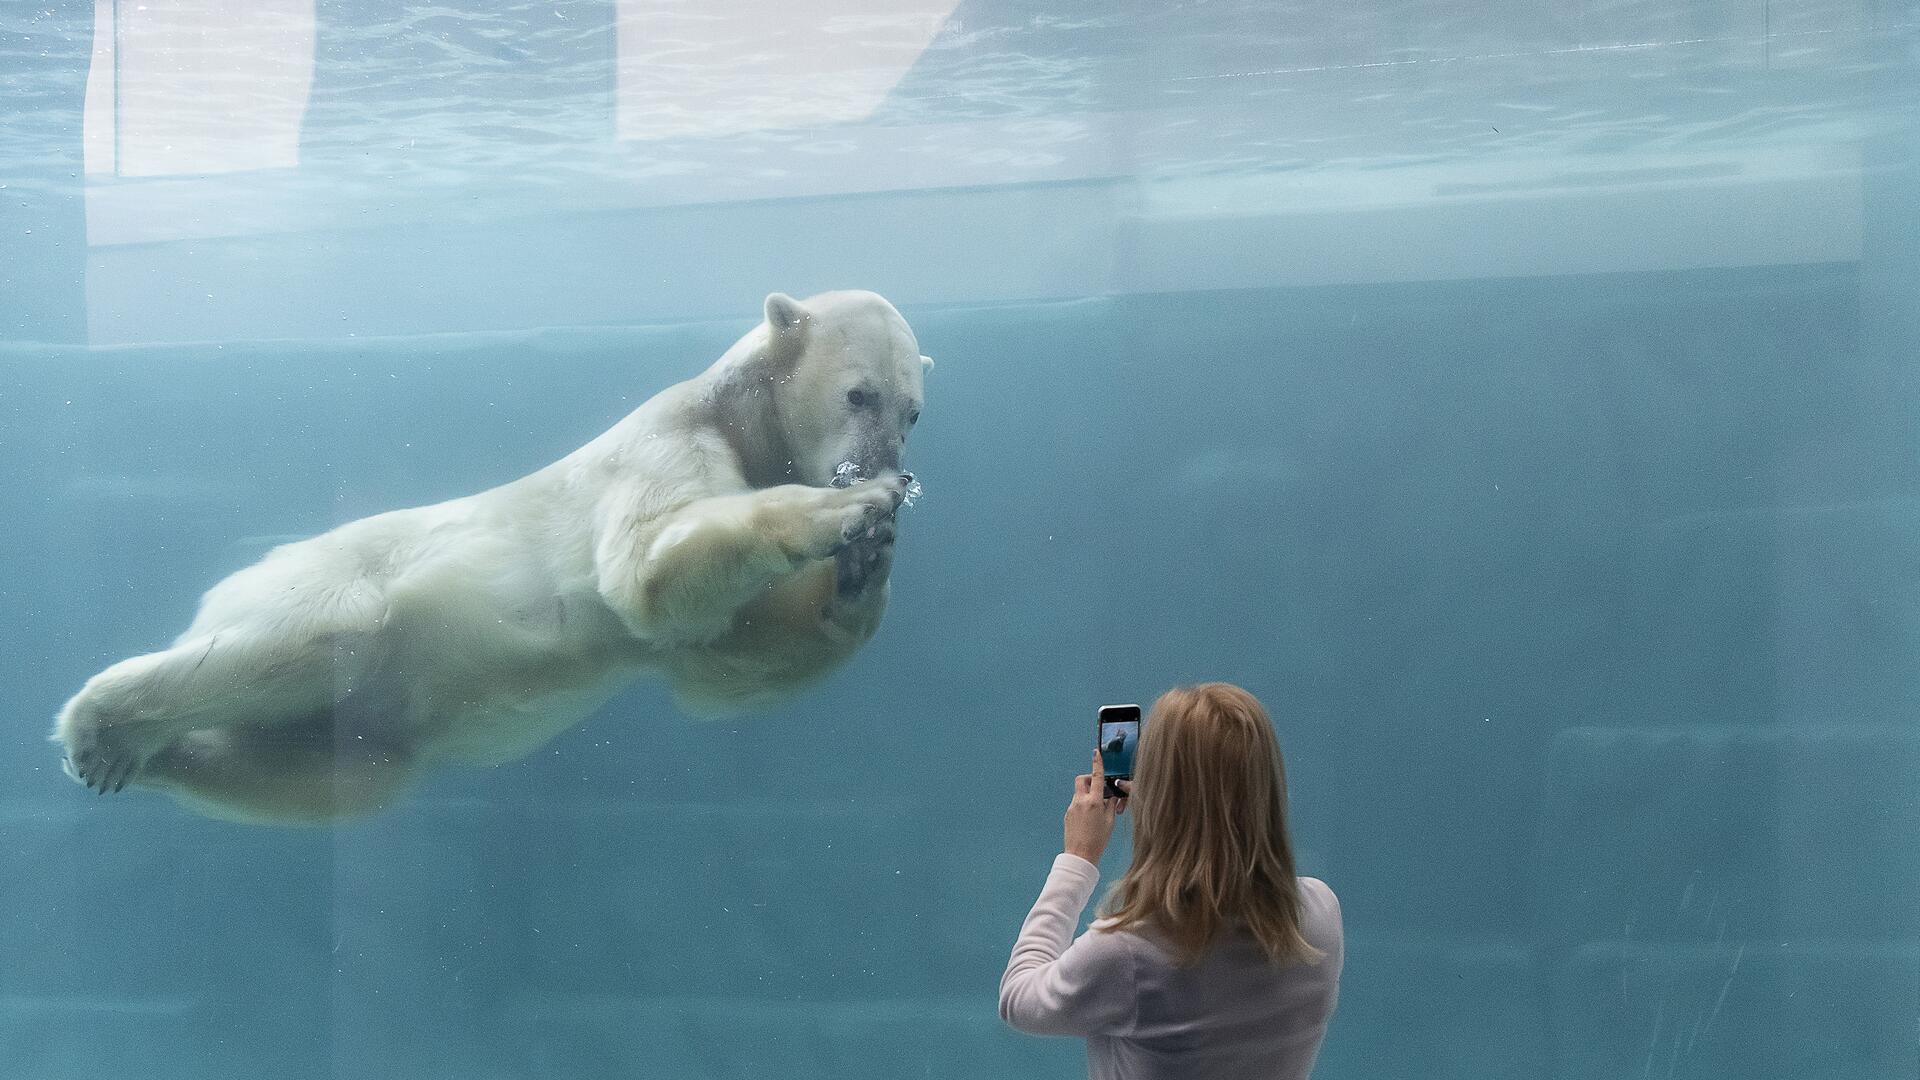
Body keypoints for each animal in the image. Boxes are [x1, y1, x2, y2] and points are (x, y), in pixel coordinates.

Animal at [50, 290, 929, 818]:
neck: (738, 418)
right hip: (333, 582)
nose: (885, 464)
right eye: (859, 394)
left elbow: (723, 660)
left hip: (368, 730)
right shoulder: (667, 440)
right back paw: (99, 724)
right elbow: (645, 567)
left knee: (325, 774)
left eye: (913, 409)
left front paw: (866, 568)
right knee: (315, 637)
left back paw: (147, 757)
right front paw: (851, 512)